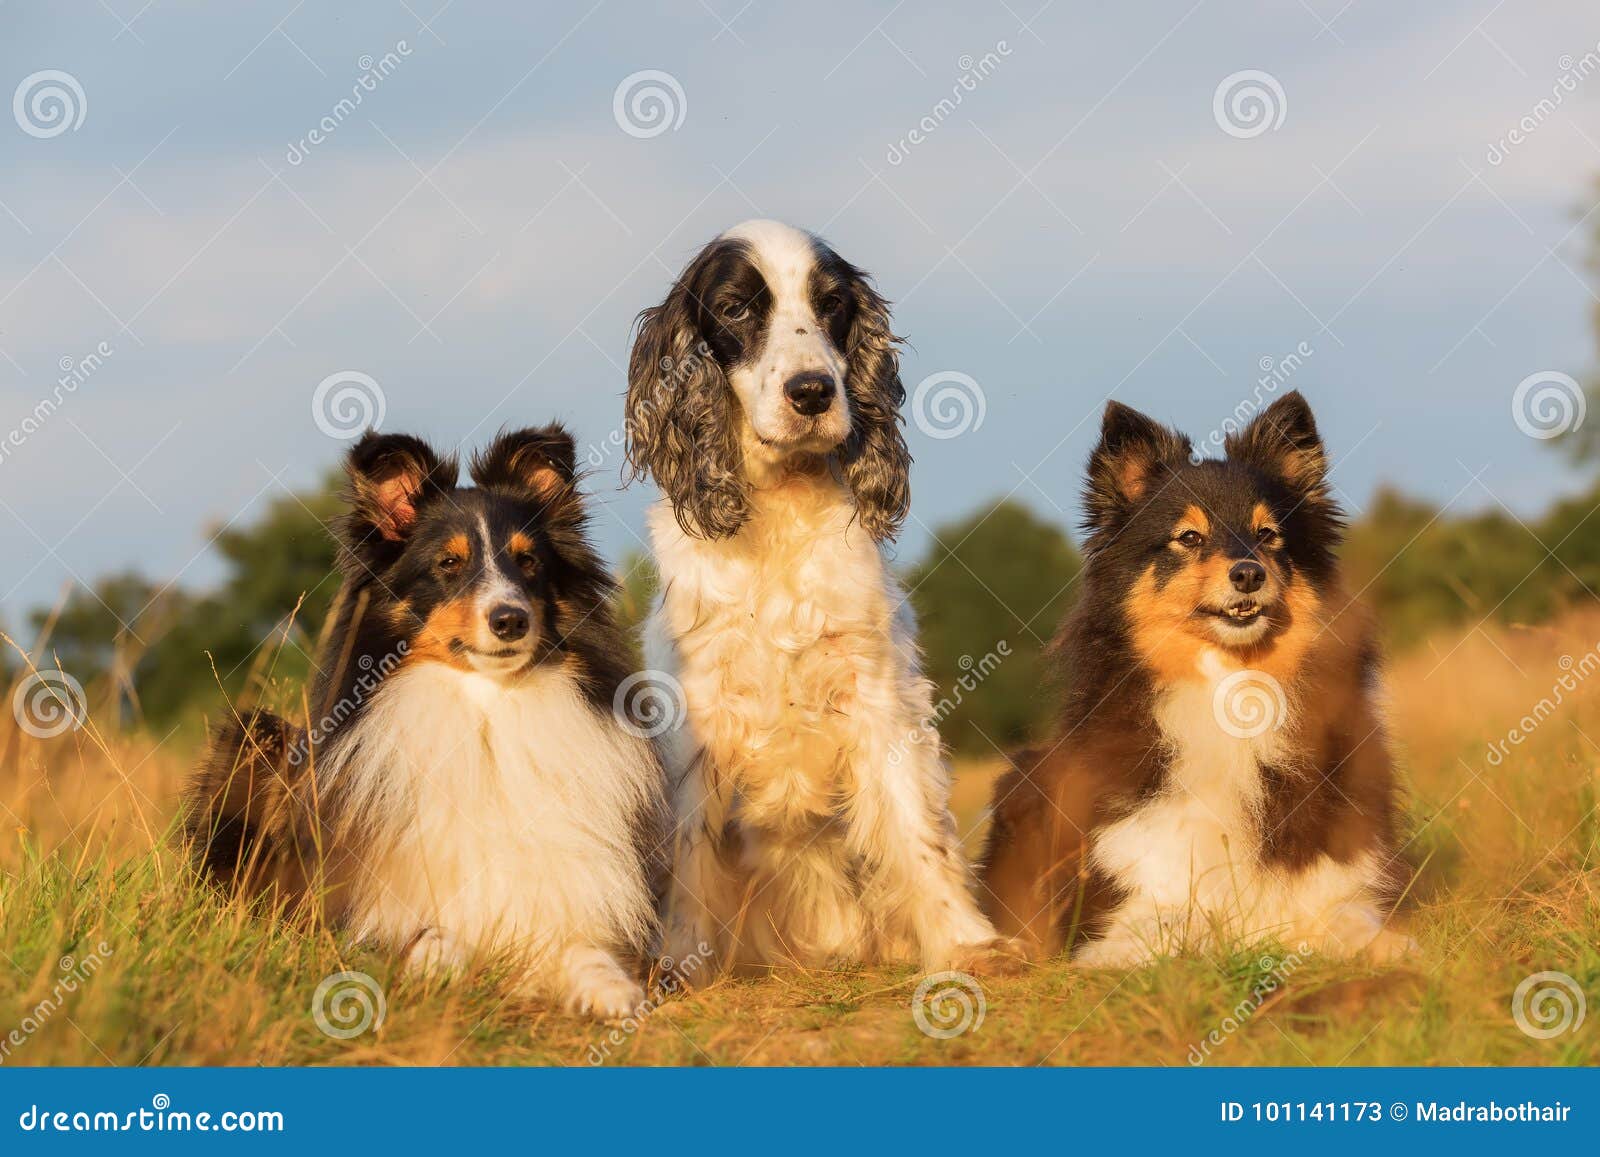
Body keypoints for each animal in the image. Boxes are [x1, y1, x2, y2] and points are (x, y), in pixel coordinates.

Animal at [187, 422, 668, 1011]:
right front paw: (442, 971)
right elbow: (429, 939)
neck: (486, 711)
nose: (511, 620)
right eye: (448, 564)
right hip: (255, 734)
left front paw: (617, 996)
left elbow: (587, 951)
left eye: (529, 562)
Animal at [972, 393, 1414, 966]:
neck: (1230, 691)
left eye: (1268, 535)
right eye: (1189, 537)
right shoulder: (1123, 896)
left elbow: (1350, 920)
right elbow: (1174, 926)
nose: (1248, 573)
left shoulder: (1334, 873)